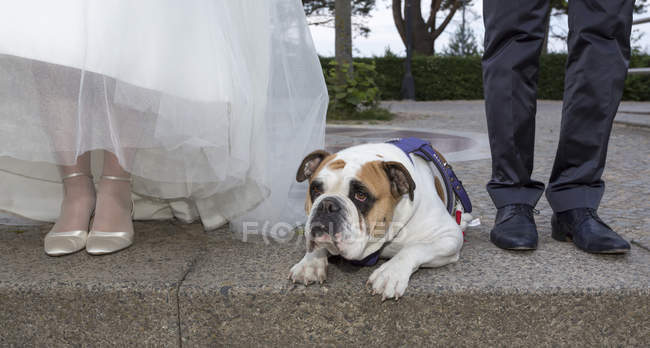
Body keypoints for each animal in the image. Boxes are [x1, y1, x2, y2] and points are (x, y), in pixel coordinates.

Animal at [288, 143, 470, 300]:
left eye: (361, 195)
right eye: (315, 189)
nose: (327, 204)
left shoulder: (449, 236)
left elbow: (414, 248)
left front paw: (390, 273)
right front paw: (310, 262)